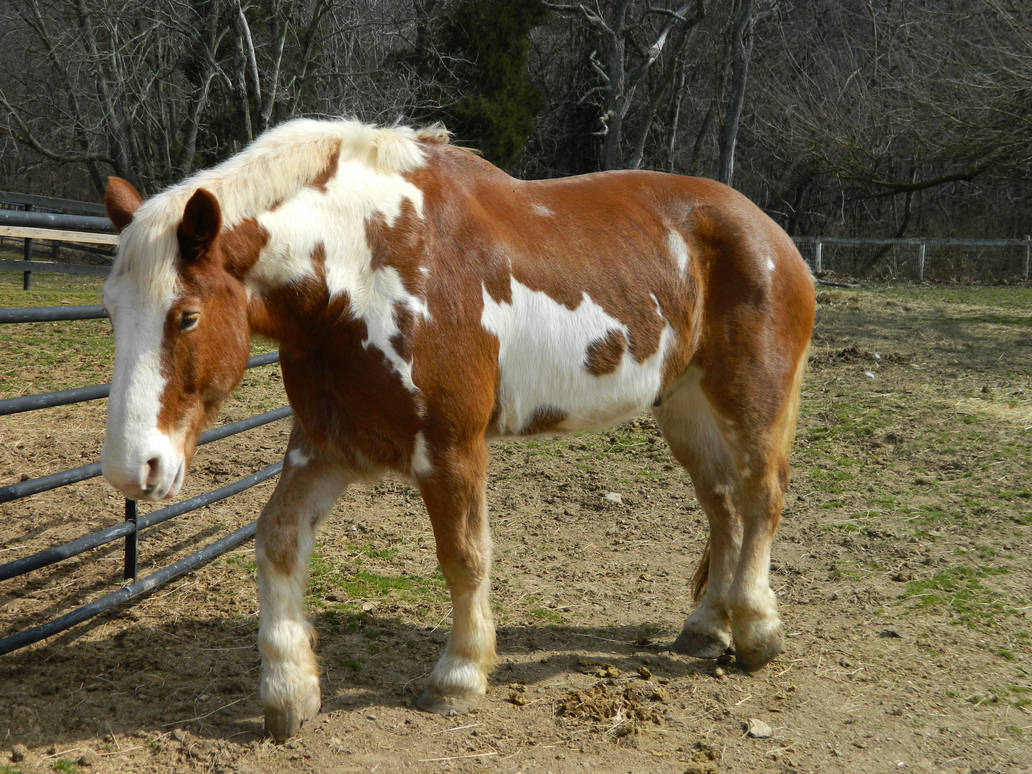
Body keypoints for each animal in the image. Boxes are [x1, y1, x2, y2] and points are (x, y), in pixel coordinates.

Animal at [100, 117, 815, 742]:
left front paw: (460, 676)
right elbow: (275, 538)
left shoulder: (450, 450)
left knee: (762, 495)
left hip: (751, 403)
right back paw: (706, 627)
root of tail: (771, 235)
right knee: (722, 505)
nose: (133, 468)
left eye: (187, 316)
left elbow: (464, 557)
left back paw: (756, 630)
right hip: (684, 408)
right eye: (110, 310)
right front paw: (288, 691)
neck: (367, 269)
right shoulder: (328, 447)